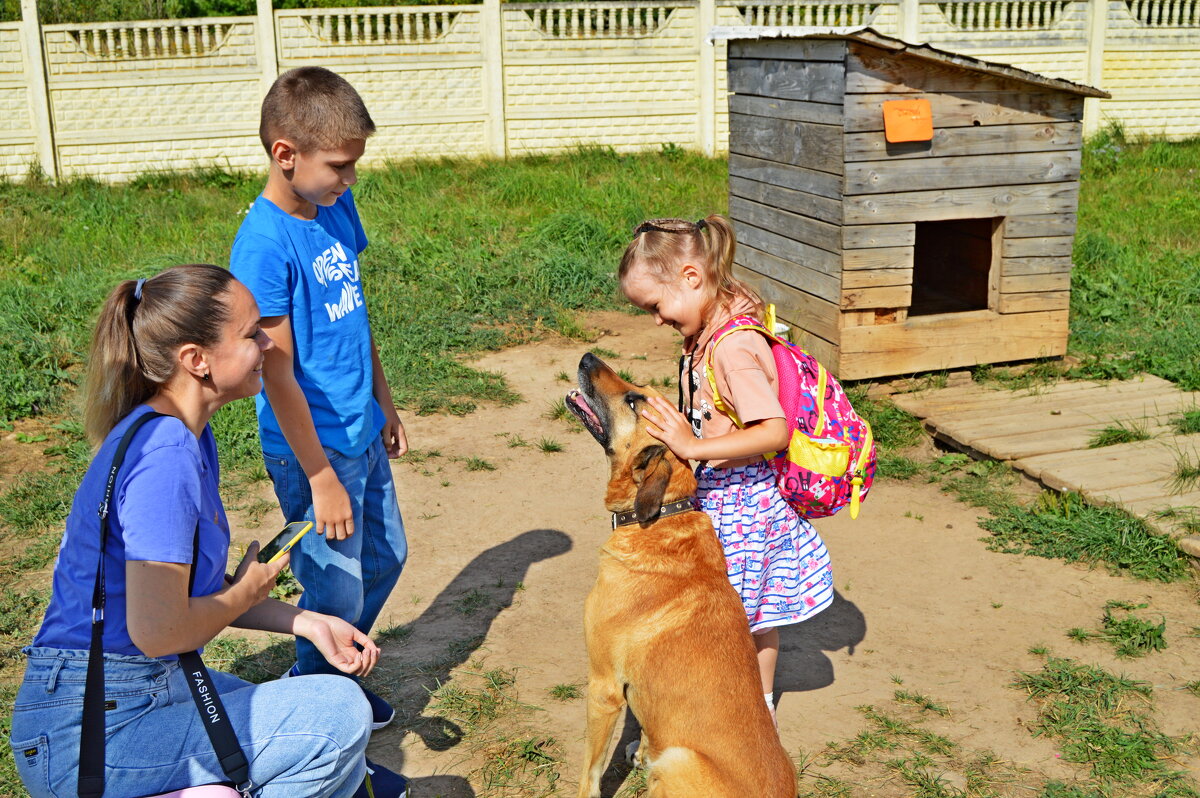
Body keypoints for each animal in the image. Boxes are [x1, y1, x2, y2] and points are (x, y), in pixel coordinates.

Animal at [564, 352, 792, 796]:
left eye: (634, 401)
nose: (587, 357)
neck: (661, 516)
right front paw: (640, 751)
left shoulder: (603, 688)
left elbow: (590, 773)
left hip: (679, 759)